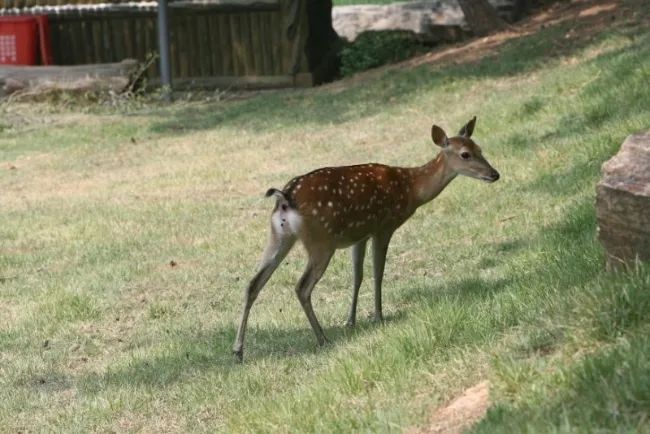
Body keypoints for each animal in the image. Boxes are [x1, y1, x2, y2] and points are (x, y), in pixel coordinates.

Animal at [230, 117, 498, 362]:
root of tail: (285, 198)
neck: (411, 190)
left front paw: (351, 320)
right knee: (302, 287)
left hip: (280, 236)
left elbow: (357, 276)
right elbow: (378, 272)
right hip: (320, 241)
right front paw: (378, 316)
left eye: (480, 149)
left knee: (253, 284)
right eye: (465, 154)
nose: (495, 174)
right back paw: (322, 338)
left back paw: (238, 350)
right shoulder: (383, 226)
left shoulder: (359, 234)